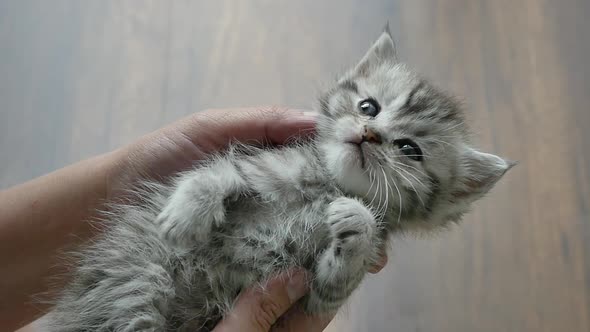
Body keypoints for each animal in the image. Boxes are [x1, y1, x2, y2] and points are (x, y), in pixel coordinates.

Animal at [45, 29, 512, 332]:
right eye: (368, 106)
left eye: (410, 149)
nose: (368, 134)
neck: (327, 184)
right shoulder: (258, 165)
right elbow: (214, 172)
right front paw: (186, 215)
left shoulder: (313, 296)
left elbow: (338, 277)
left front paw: (354, 221)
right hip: (138, 279)